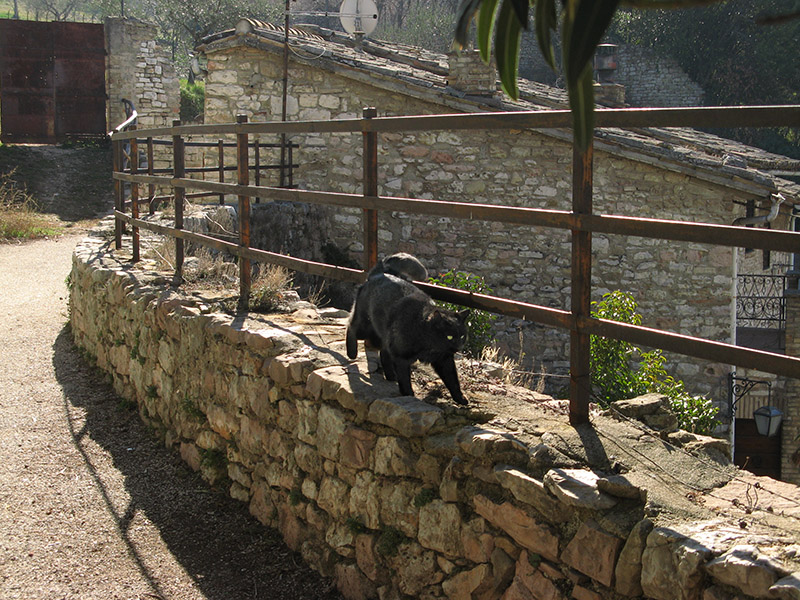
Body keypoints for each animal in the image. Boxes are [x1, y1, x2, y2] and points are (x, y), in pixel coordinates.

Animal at [346, 270, 468, 404]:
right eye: (449, 337)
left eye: (462, 336)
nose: (459, 347)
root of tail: (375, 275)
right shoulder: (401, 357)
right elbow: (405, 378)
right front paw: (408, 394)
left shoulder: (445, 360)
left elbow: (453, 380)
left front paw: (460, 398)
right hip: (367, 329)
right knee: (350, 326)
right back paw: (351, 353)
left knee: (384, 353)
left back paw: (391, 376)